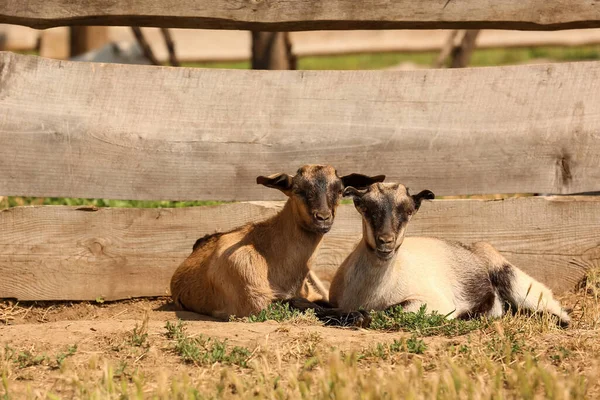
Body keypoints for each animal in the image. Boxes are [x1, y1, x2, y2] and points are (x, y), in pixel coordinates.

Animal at [169, 165, 384, 324]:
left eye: (339, 191)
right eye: (298, 190)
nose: (323, 218)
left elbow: (322, 302)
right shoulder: (255, 301)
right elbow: (300, 304)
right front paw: (357, 315)